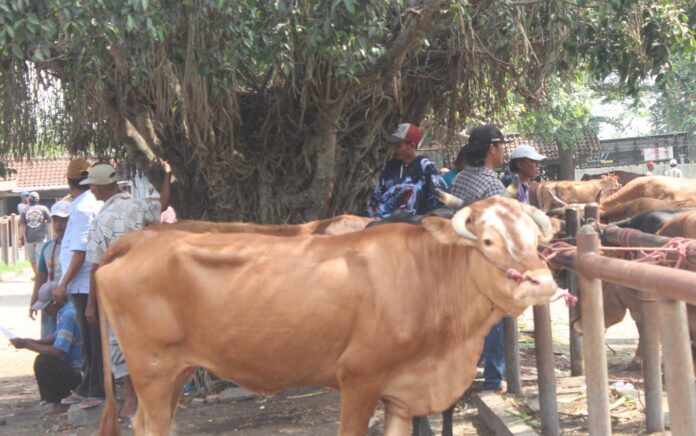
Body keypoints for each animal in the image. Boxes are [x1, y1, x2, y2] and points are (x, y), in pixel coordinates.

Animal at [96, 199, 556, 436]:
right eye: (488, 241)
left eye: (537, 240)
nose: (542, 282)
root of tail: (141, 239)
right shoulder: (358, 378)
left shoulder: (402, 395)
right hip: (152, 371)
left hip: (174, 372)